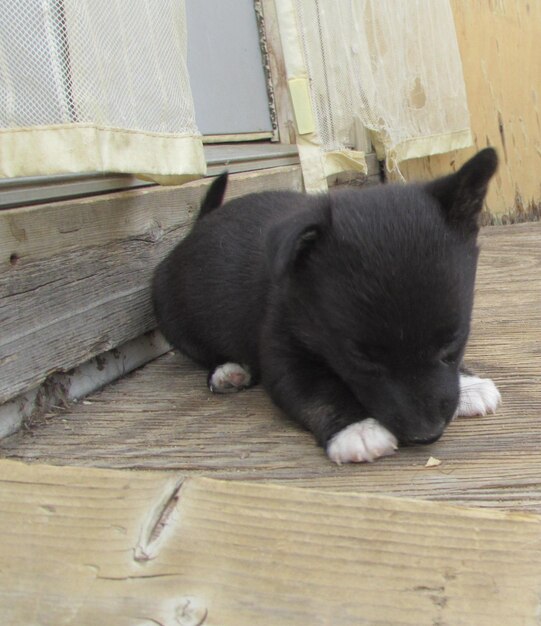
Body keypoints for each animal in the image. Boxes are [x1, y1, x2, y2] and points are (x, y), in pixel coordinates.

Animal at [152, 150, 498, 464]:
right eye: (361, 359)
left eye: (452, 345)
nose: (426, 434)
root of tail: (199, 225)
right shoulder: (284, 357)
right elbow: (318, 393)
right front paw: (357, 429)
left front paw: (469, 380)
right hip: (172, 315)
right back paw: (229, 370)